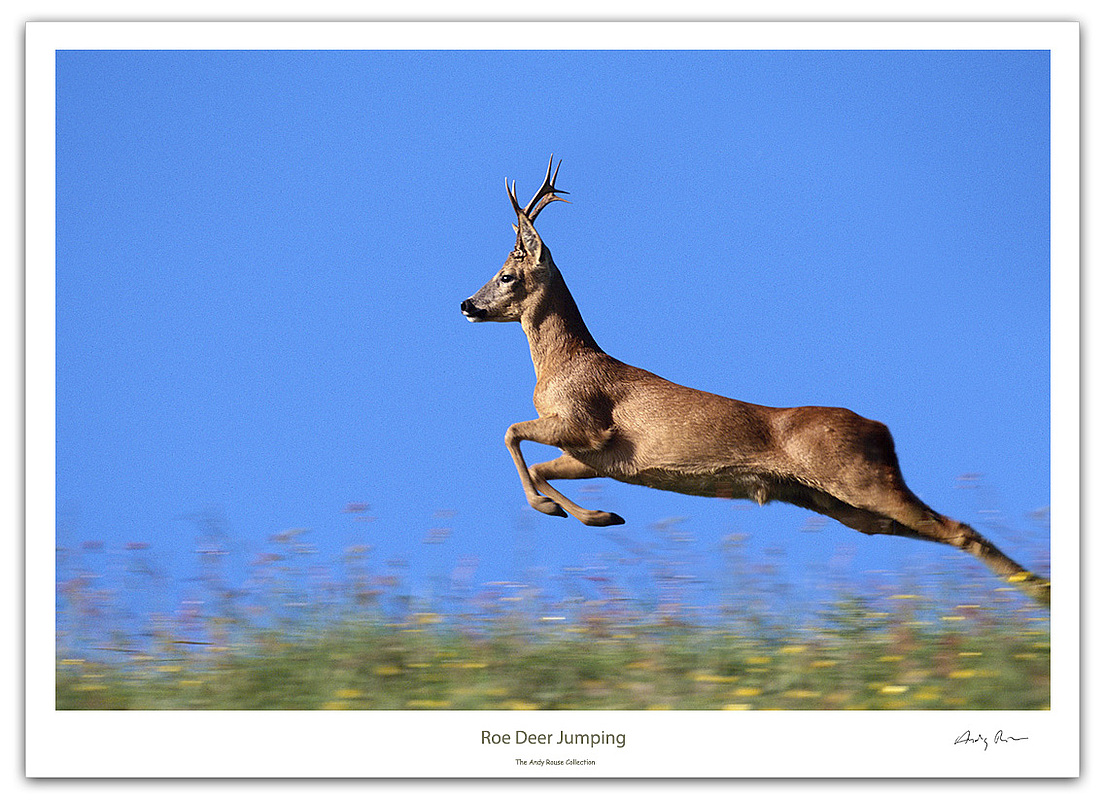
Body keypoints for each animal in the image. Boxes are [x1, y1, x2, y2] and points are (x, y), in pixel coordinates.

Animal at [461, 155, 1047, 605]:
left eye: (507, 275)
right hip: (842, 504)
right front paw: (599, 515)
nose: (467, 304)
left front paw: (559, 510)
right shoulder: (599, 458)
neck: (562, 365)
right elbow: (541, 465)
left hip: (860, 479)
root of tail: (882, 430)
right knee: (937, 531)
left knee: (958, 527)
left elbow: (510, 432)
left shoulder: (587, 425)